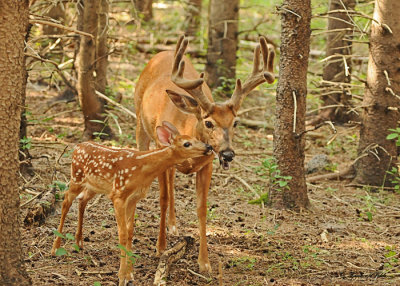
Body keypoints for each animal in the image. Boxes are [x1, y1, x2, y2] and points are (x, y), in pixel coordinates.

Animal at [52, 121, 214, 286]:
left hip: (94, 186)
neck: (141, 169)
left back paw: (79, 242)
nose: (208, 147)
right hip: (76, 178)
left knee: (82, 200)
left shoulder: (133, 198)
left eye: (195, 138)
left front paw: (129, 274)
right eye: (187, 143)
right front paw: (122, 276)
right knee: (66, 201)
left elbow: (130, 233)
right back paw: (55, 248)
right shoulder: (118, 195)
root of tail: (78, 146)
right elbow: (122, 235)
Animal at [134, 34, 276, 272]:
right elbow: (162, 198)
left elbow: (201, 208)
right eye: (208, 122)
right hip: (140, 122)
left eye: (235, 122)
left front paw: (205, 262)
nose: (228, 154)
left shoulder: (207, 165)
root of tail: (163, 53)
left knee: (173, 181)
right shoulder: (163, 149)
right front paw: (160, 247)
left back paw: (173, 224)